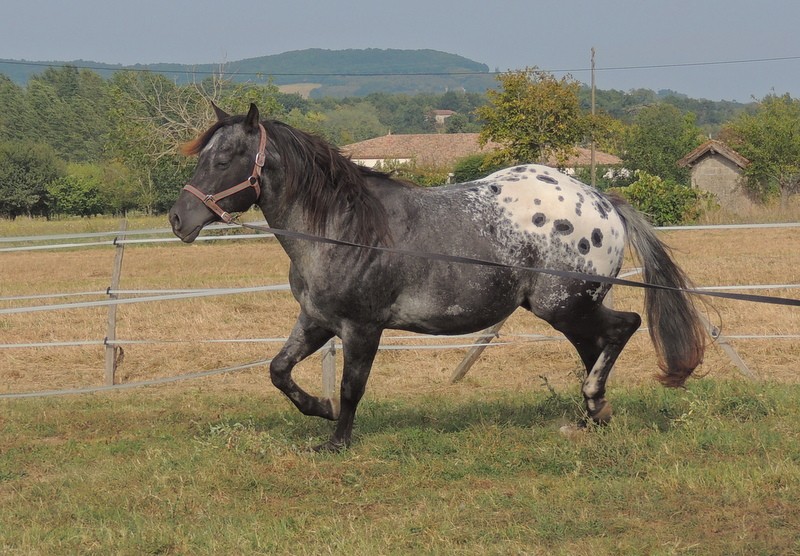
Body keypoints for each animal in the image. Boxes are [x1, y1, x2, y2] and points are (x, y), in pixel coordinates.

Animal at [166, 103, 704, 452]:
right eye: (203, 155)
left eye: (222, 159)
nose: (177, 219)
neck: (345, 231)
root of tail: (601, 200)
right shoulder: (316, 321)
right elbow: (279, 371)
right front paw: (319, 408)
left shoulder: (362, 328)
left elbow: (352, 387)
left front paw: (337, 440)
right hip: (569, 310)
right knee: (597, 346)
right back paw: (592, 416)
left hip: (567, 305)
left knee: (623, 327)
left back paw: (594, 406)